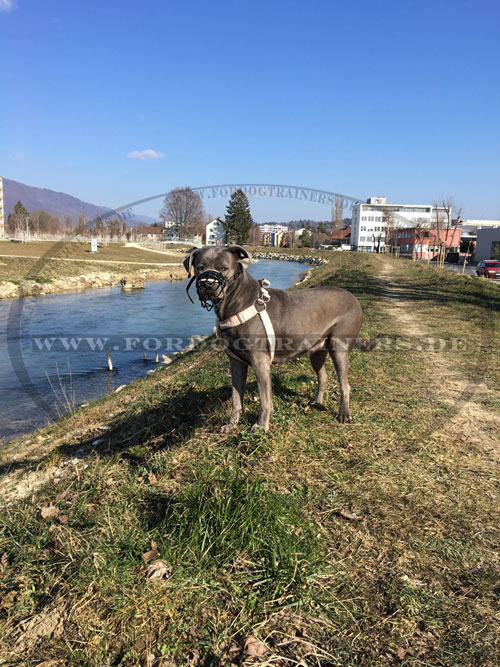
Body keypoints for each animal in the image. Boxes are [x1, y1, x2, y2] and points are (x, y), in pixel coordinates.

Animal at [185, 245, 382, 434]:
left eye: (223, 268)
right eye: (200, 267)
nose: (207, 284)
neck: (236, 302)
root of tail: (354, 297)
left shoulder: (260, 362)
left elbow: (264, 399)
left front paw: (261, 426)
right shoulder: (236, 363)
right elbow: (236, 398)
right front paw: (231, 425)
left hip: (339, 347)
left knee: (345, 385)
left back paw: (344, 414)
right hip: (316, 350)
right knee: (323, 376)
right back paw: (316, 402)